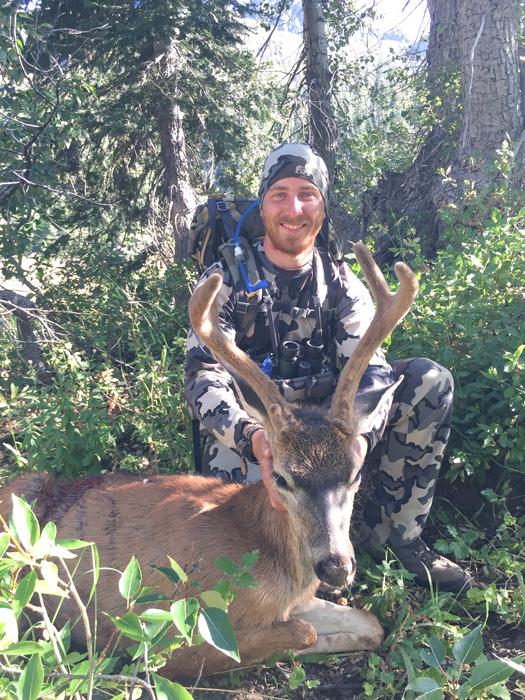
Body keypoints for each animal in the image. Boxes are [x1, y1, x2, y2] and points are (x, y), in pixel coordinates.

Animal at [0, 242, 418, 681]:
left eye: (355, 474)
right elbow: (301, 632)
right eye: (281, 478)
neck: (277, 561)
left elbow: (371, 624)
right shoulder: (165, 633)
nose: (336, 567)